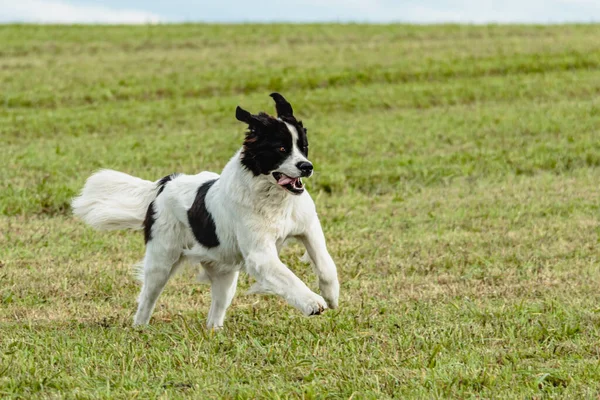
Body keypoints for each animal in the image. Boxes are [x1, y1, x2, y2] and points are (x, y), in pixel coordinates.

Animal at [71, 93, 338, 328]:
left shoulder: (308, 227)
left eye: (304, 147)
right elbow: (289, 277)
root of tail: (164, 184)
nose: (307, 166)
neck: (273, 196)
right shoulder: (260, 255)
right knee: (147, 297)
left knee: (215, 311)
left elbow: (325, 262)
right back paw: (140, 327)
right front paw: (313, 302)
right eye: (282, 149)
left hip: (224, 273)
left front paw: (332, 295)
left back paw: (215, 331)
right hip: (162, 260)